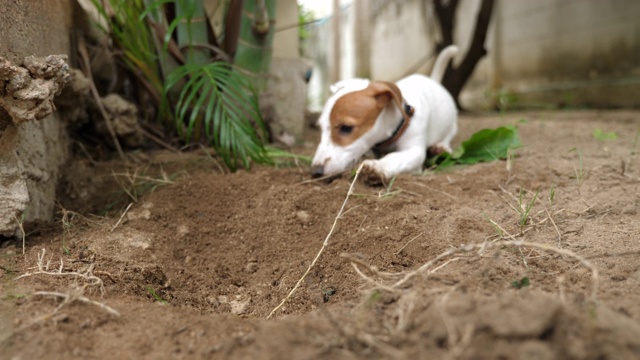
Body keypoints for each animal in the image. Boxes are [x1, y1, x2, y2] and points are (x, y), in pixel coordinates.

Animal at [312, 44, 458, 184]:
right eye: (320, 128)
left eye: (346, 128)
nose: (316, 171)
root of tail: (433, 80)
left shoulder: (415, 150)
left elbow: (396, 156)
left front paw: (379, 166)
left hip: (452, 124)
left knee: (449, 135)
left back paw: (441, 147)